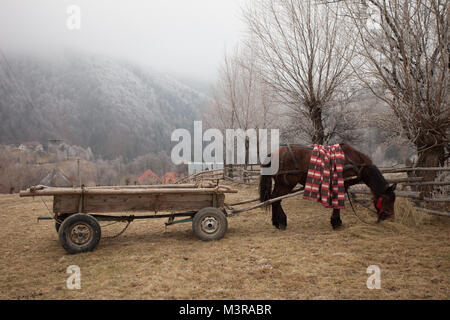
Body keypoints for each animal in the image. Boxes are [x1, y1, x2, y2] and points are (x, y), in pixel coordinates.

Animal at [258, 143, 396, 230]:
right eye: (388, 199)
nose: (390, 217)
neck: (356, 162)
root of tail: (274, 153)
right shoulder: (342, 184)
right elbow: (338, 203)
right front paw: (336, 222)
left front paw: (335, 221)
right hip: (285, 184)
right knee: (276, 199)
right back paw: (281, 222)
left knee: (273, 199)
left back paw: (276, 222)